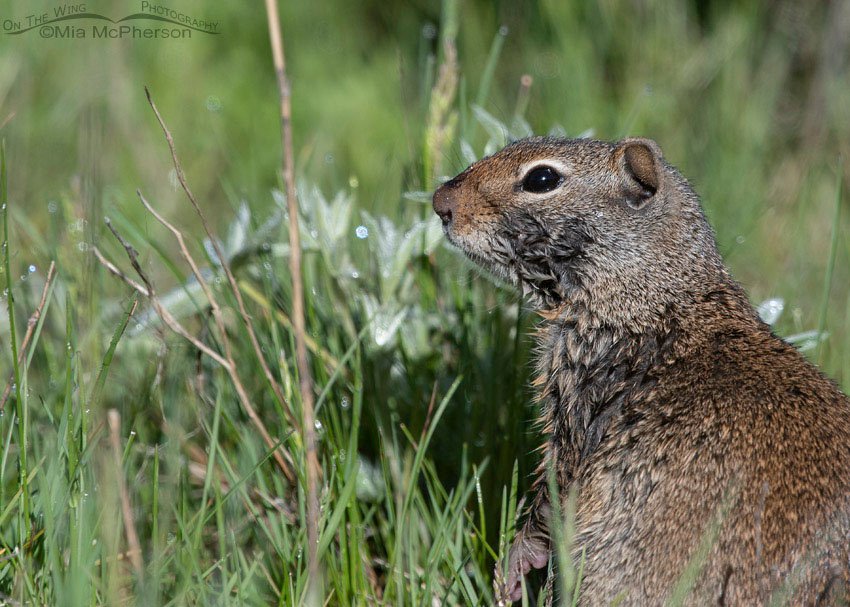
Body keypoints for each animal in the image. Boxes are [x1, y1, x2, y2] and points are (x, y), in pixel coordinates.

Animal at [433, 136, 850, 606]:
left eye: (542, 178)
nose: (439, 201)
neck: (657, 299)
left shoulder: (574, 410)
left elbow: (551, 499)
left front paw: (513, 566)